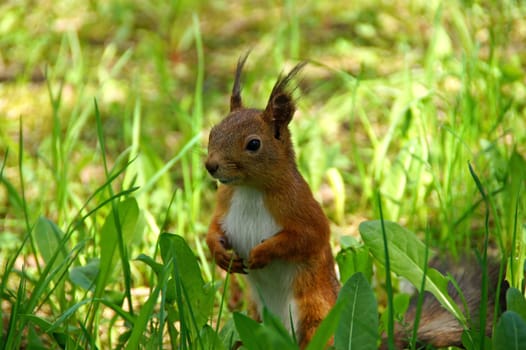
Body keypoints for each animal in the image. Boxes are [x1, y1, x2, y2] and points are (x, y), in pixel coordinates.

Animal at [204, 54, 340, 348]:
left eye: (254, 144)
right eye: (212, 132)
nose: (211, 166)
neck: (249, 190)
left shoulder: (301, 206)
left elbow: (308, 237)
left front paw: (261, 253)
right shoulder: (223, 204)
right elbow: (213, 229)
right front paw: (220, 255)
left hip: (315, 314)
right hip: (255, 314)